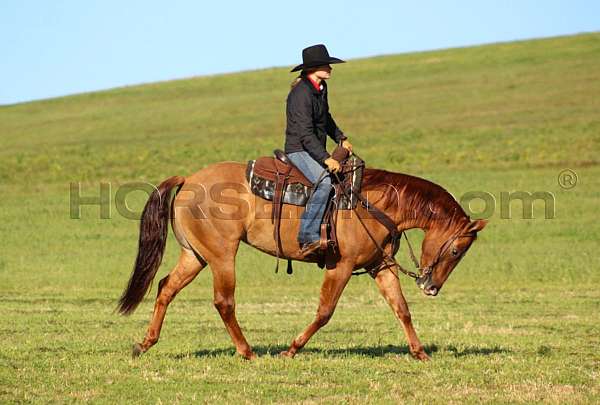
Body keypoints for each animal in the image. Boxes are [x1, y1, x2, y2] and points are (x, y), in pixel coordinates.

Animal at [117, 161, 488, 360]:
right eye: (457, 251)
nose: (431, 287)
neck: (376, 205)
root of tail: (189, 179)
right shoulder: (341, 267)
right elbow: (324, 312)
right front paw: (292, 349)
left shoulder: (380, 267)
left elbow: (402, 309)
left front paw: (420, 353)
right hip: (222, 256)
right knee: (224, 301)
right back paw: (247, 351)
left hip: (195, 256)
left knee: (166, 288)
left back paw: (144, 344)